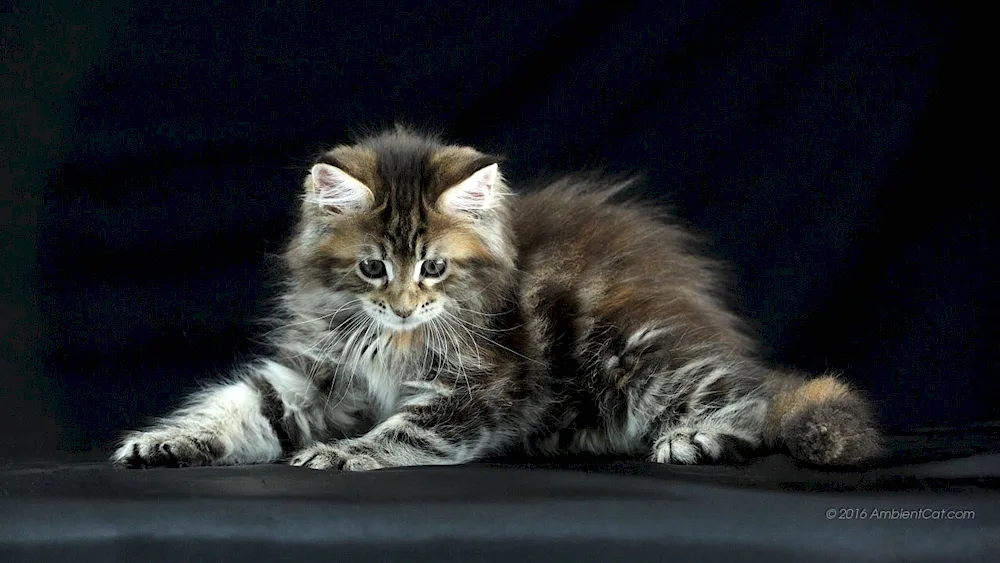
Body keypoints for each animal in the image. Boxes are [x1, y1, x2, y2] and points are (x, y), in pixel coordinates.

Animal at [113, 128, 888, 472]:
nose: (403, 305)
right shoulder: (315, 373)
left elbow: (403, 430)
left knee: (754, 399)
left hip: (635, 352)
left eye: (432, 267)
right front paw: (166, 439)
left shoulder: (478, 387)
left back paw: (702, 435)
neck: (395, 342)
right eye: (372, 268)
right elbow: (239, 406)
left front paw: (342, 453)